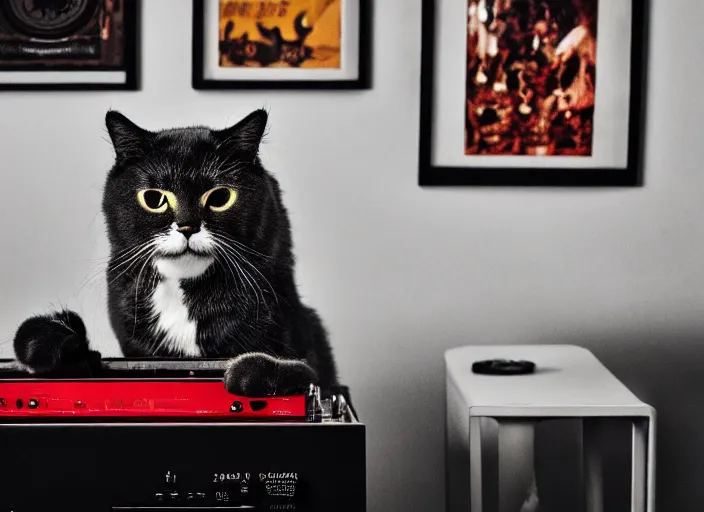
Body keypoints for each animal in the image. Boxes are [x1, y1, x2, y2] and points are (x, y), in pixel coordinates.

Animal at [11, 107, 338, 396]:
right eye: (153, 199)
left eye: (220, 197)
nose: (187, 226)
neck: (182, 295)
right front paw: (51, 339)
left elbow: (304, 371)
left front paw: (248, 371)